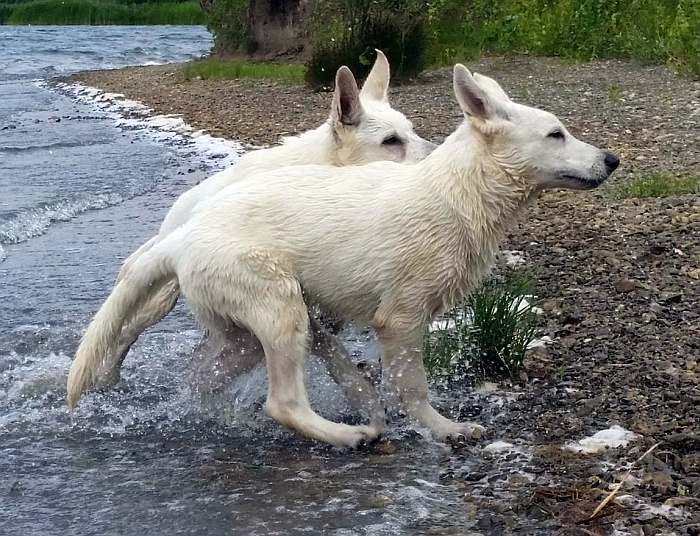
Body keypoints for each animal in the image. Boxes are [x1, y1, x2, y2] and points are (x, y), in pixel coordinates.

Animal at [68, 63, 620, 448]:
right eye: (556, 134)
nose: (613, 160)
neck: (458, 192)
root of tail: (185, 234)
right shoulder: (399, 320)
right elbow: (413, 389)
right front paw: (443, 429)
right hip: (280, 309)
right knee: (281, 402)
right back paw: (346, 436)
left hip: (250, 331)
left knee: (201, 379)